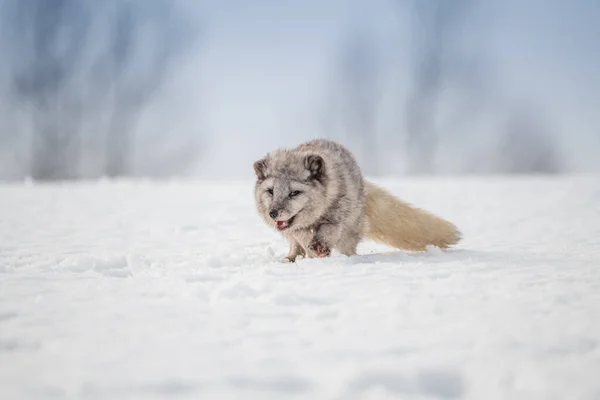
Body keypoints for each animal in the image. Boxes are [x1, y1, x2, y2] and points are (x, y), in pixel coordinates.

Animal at [252, 139, 460, 260]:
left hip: (350, 230)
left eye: (294, 193)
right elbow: (302, 236)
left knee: (347, 248)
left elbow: (328, 230)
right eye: (270, 191)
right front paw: (312, 251)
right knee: (295, 246)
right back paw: (292, 258)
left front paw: (320, 247)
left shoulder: (338, 216)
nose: (273, 213)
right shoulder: (297, 229)